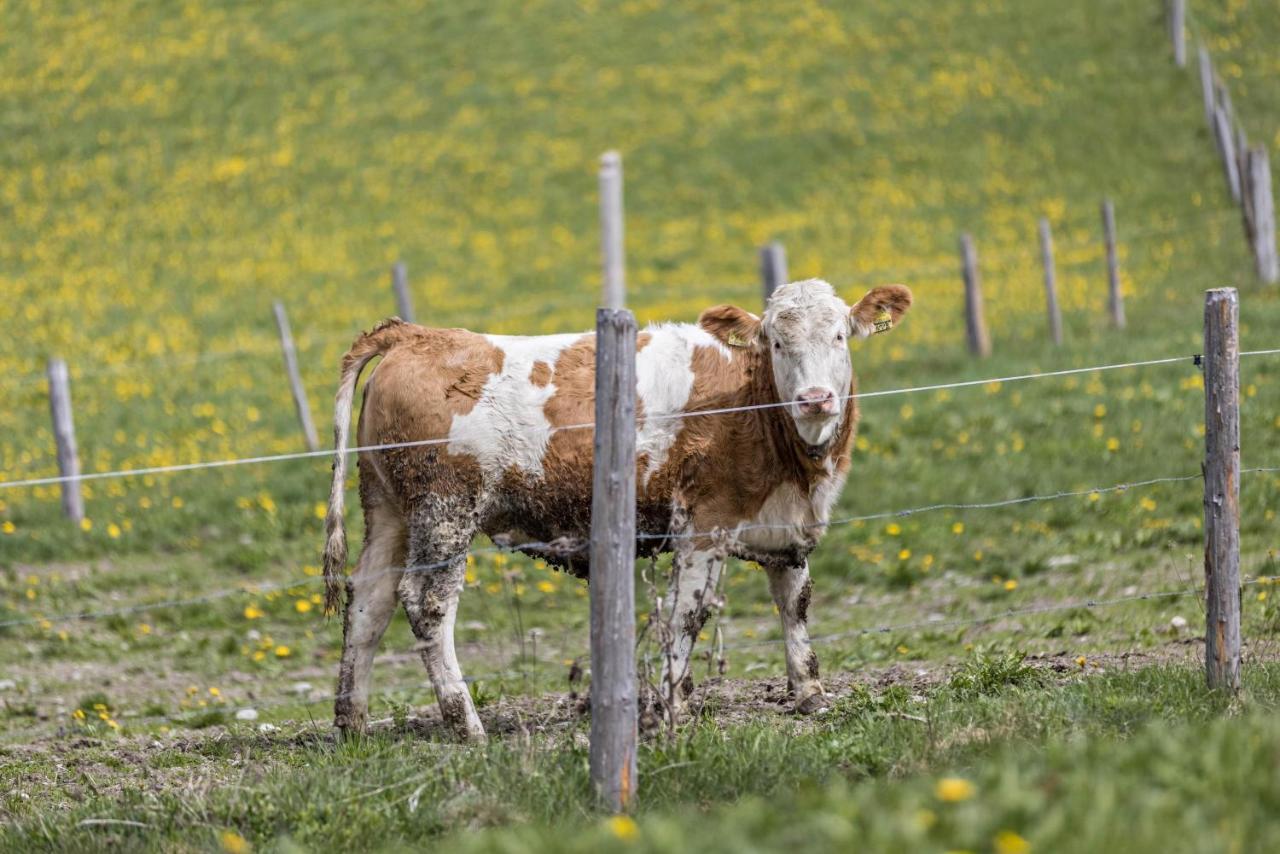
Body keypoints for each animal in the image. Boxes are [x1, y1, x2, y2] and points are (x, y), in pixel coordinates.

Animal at [325, 280, 916, 742]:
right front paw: (672, 706)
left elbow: (795, 603)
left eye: (839, 336)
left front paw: (810, 693)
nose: (815, 398)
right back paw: (466, 725)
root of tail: (415, 334)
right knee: (426, 605)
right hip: (445, 512)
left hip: (387, 508)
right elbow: (686, 615)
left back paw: (351, 723)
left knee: (370, 601)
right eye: (775, 340)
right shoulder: (704, 525)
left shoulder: (784, 524)